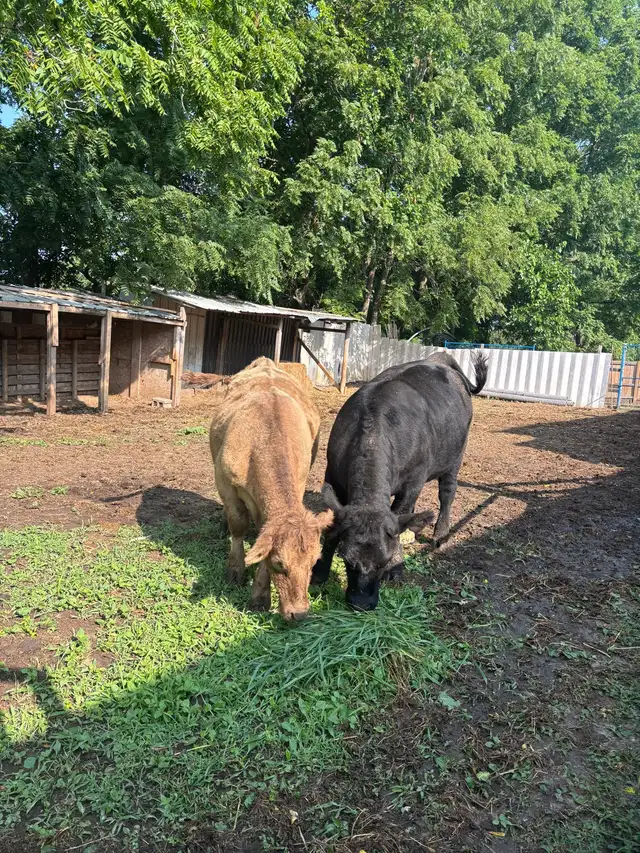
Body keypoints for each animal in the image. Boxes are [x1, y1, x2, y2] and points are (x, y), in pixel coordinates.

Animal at [209, 357, 333, 621]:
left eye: (313, 563)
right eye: (279, 563)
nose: (300, 613)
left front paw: (259, 596)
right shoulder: (225, 482)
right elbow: (239, 525)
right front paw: (235, 570)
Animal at [312, 351, 488, 611]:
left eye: (384, 561)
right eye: (346, 559)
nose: (361, 603)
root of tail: (440, 360)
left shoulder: (413, 482)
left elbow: (402, 511)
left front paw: (397, 567)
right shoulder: (333, 477)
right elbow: (334, 526)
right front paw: (319, 572)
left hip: (456, 456)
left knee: (446, 493)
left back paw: (440, 534)